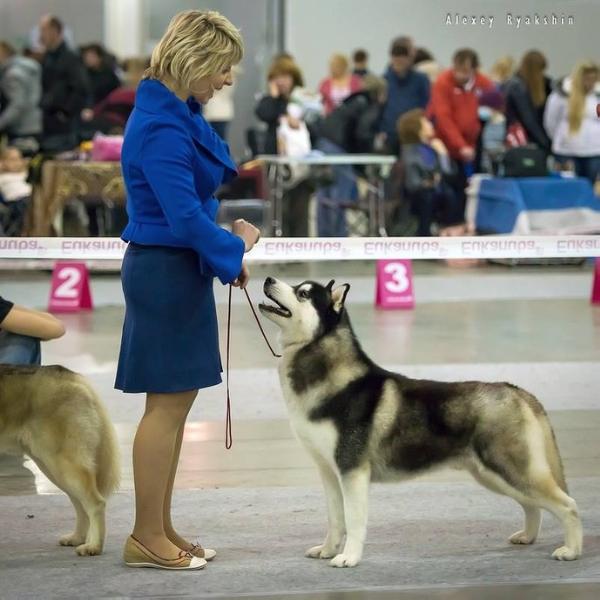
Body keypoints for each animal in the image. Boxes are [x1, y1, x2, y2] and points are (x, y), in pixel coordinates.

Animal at [0, 364, 119, 556]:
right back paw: (77, 538)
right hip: (52, 467)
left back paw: (93, 546)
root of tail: (69, 374)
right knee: (80, 505)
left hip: (62, 463)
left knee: (96, 503)